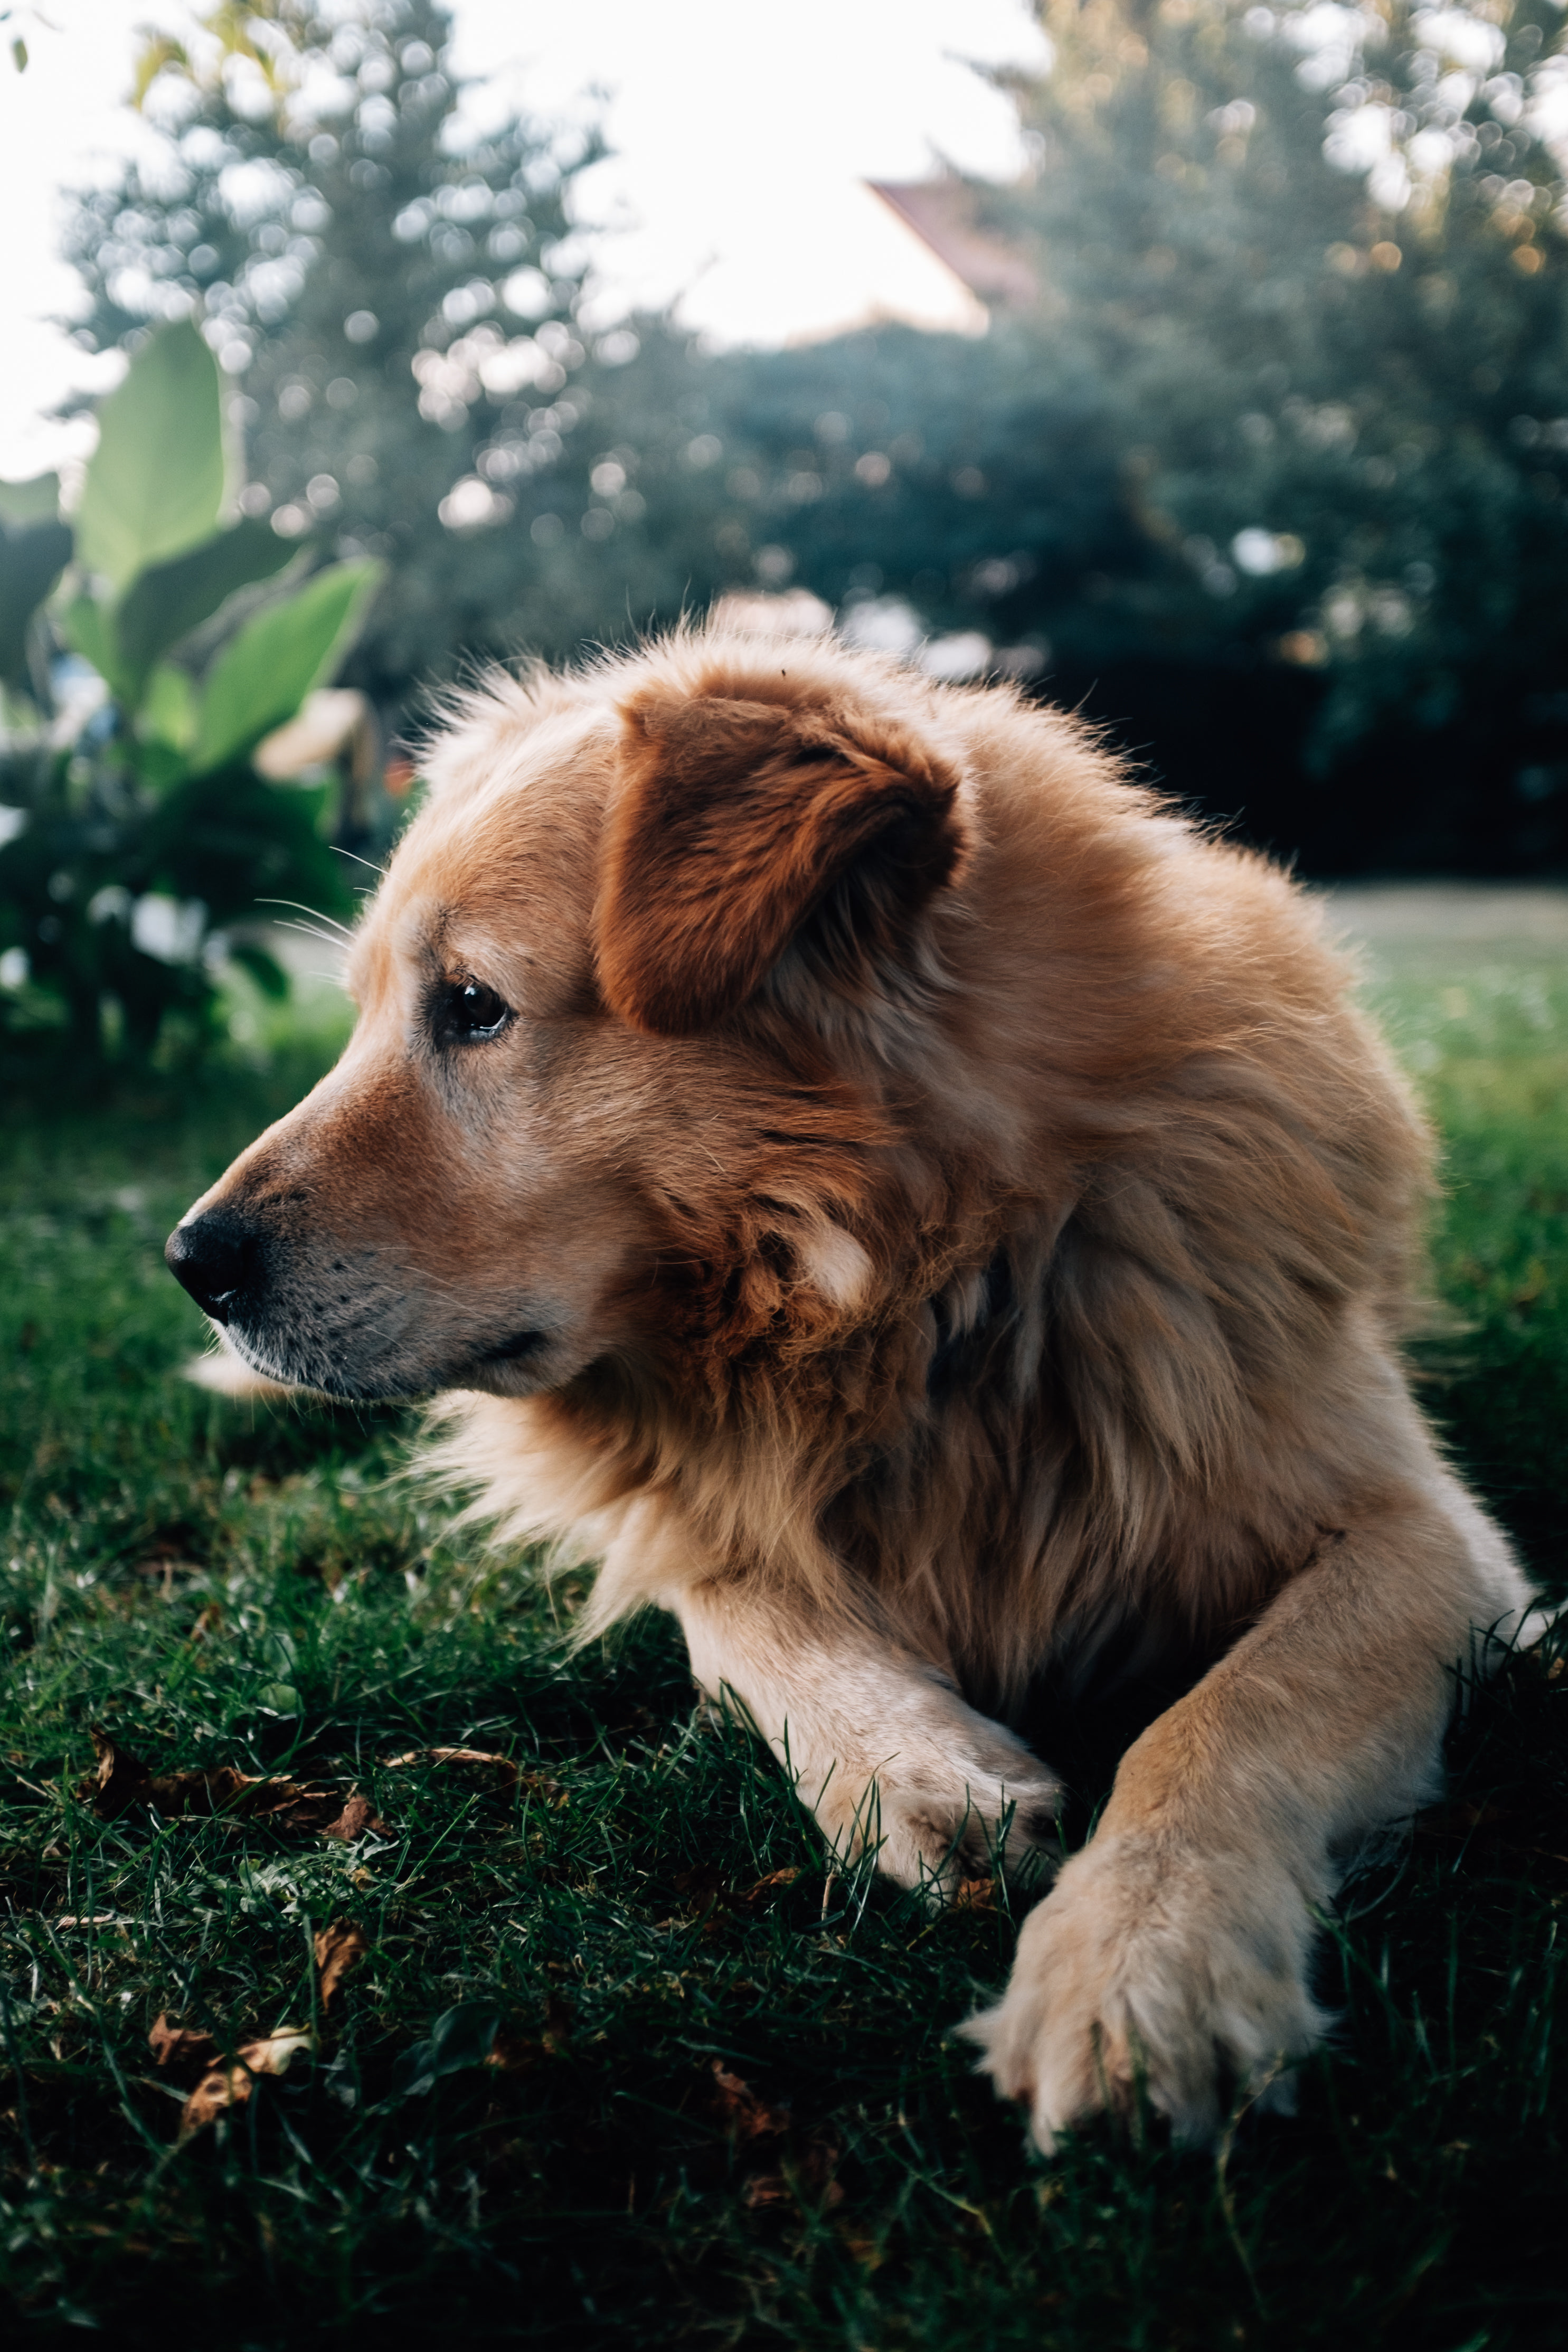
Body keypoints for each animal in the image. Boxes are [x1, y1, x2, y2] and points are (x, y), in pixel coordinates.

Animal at [165, 621, 1542, 2154]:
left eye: (470, 1006)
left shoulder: (1427, 1540)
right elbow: (741, 1607)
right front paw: (908, 1763)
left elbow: (1237, 1708)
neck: (941, 1294)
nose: (191, 1259)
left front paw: (1145, 1951)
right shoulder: (695, 1505)